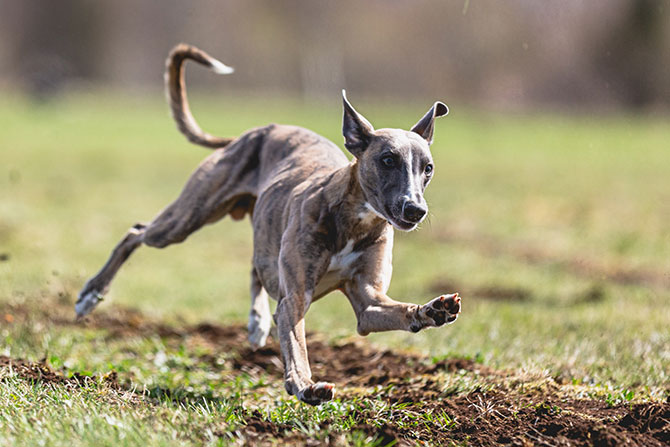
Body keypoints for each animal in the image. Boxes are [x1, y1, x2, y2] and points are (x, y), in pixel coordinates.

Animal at [75, 44, 462, 406]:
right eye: (387, 159)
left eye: (428, 167)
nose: (415, 210)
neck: (354, 220)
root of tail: (256, 132)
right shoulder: (294, 298)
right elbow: (296, 342)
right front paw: (305, 385)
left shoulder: (369, 302)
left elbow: (384, 311)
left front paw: (435, 309)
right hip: (186, 219)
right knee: (137, 232)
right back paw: (90, 295)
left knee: (255, 266)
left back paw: (256, 321)